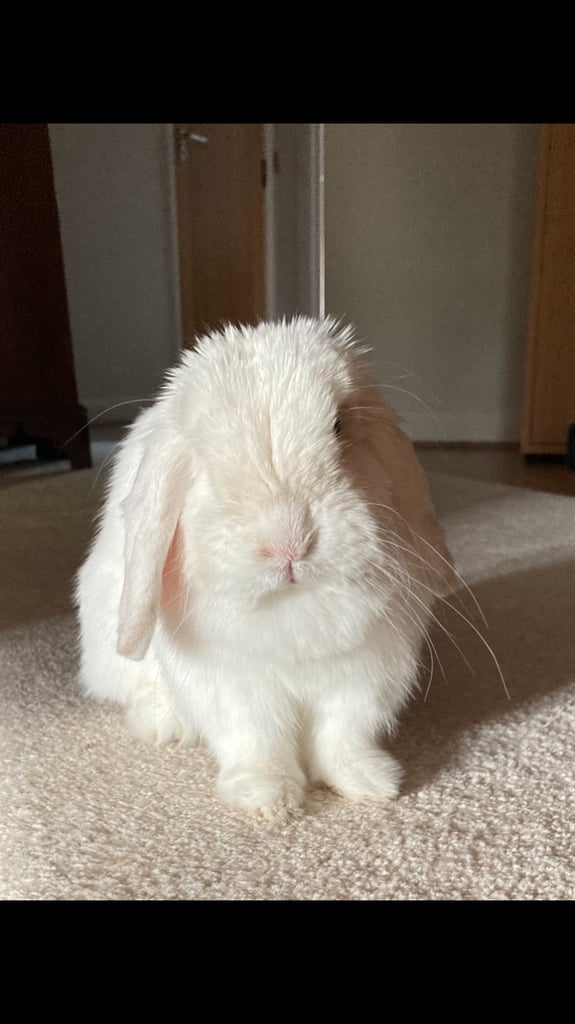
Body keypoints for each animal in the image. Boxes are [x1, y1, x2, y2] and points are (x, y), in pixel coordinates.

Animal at [75, 316, 454, 821]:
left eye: (339, 427)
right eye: (204, 462)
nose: (289, 543)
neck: (294, 609)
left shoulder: (364, 677)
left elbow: (342, 737)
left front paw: (372, 782)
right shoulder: (234, 687)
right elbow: (256, 742)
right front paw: (268, 800)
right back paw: (165, 726)